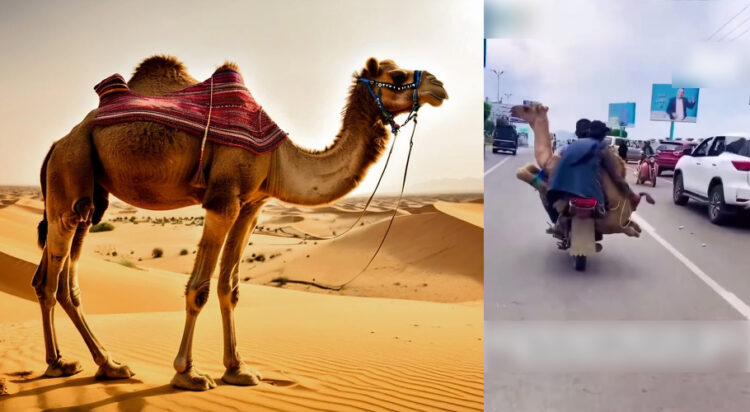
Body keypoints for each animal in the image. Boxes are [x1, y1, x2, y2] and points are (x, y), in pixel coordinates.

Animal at [33, 56, 447, 391]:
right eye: (397, 75)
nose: (439, 85)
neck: (280, 158)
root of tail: (56, 143)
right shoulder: (223, 201)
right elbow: (198, 289)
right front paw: (188, 373)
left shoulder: (252, 205)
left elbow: (229, 288)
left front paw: (238, 370)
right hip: (70, 173)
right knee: (51, 281)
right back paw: (58, 364)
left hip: (90, 199)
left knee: (62, 282)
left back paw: (109, 365)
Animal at [511, 103, 650, 237]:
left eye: (527, 108)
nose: (512, 109)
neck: (549, 159)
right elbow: (529, 169)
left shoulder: (552, 183)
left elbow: (522, 173)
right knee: (633, 227)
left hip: (610, 223)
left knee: (627, 230)